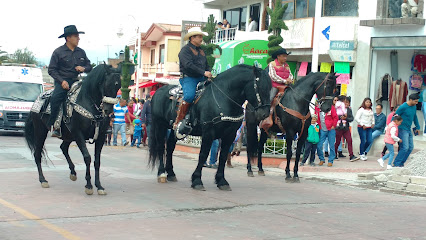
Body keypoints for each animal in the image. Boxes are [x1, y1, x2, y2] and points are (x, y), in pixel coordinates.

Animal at [24, 63, 121, 195]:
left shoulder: (101, 137)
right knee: (37, 153)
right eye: (106, 84)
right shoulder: (79, 134)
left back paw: (73, 172)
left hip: (68, 135)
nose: (108, 110)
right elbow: (87, 157)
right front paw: (89, 186)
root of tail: (36, 101)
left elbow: (97, 161)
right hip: (41, 132)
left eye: (118, 86)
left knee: (63, 148)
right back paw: (43, 180)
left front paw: (99, 186)